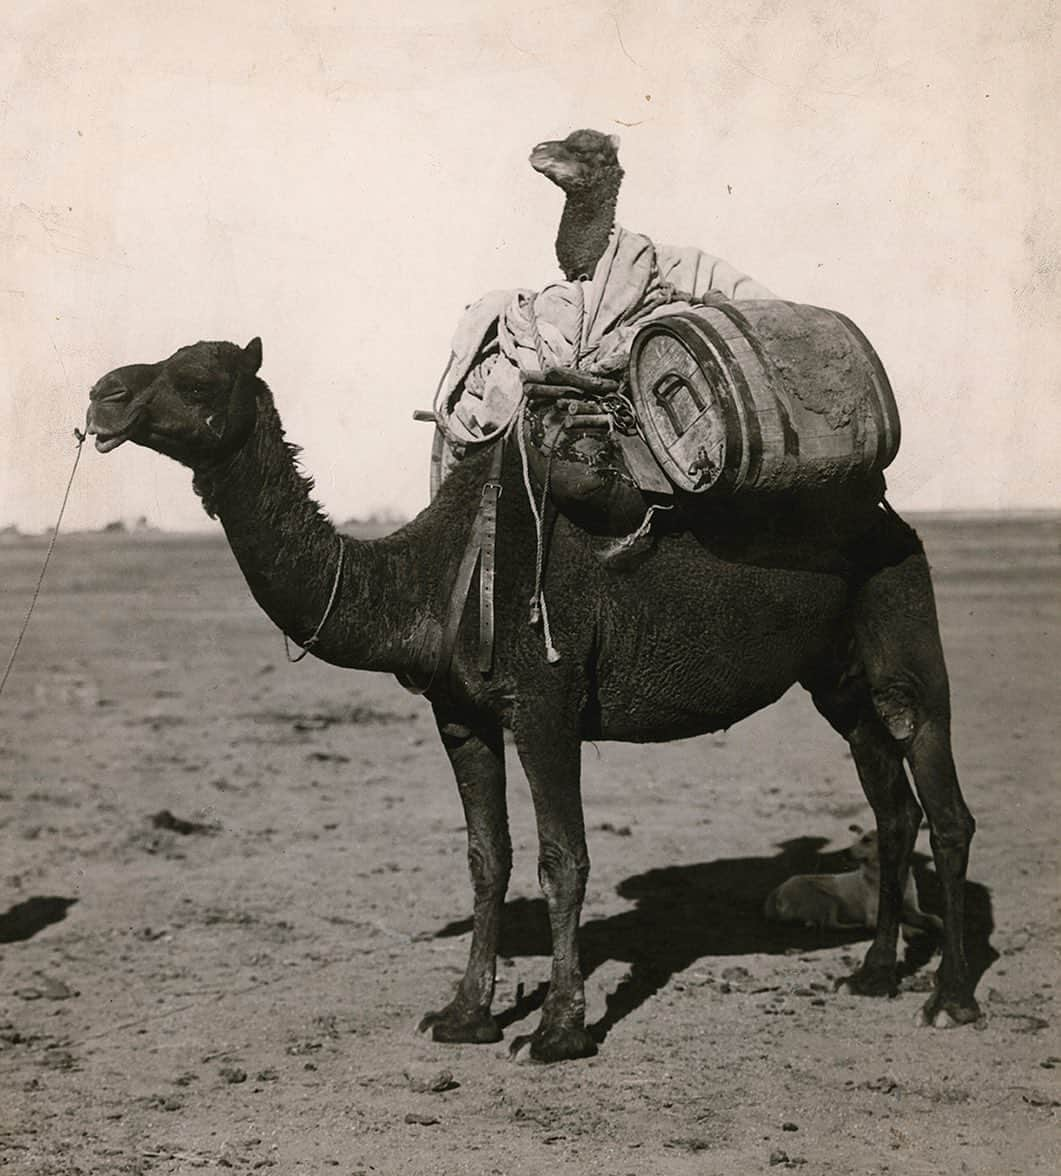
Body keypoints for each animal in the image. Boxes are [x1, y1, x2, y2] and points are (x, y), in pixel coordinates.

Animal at [87, 336, 983, 1063]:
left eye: (198, 377)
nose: (103, 393)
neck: (432, 576)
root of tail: (884, 508)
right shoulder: (461, 716)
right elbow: (488, 859)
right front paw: (463, 1016)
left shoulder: (546, 702)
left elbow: (564, 859)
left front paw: (557, 1029)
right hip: (835, 675)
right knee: (889, 799)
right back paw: (873, 975)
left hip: (900, 611)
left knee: (941, 795)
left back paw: (949, 999)